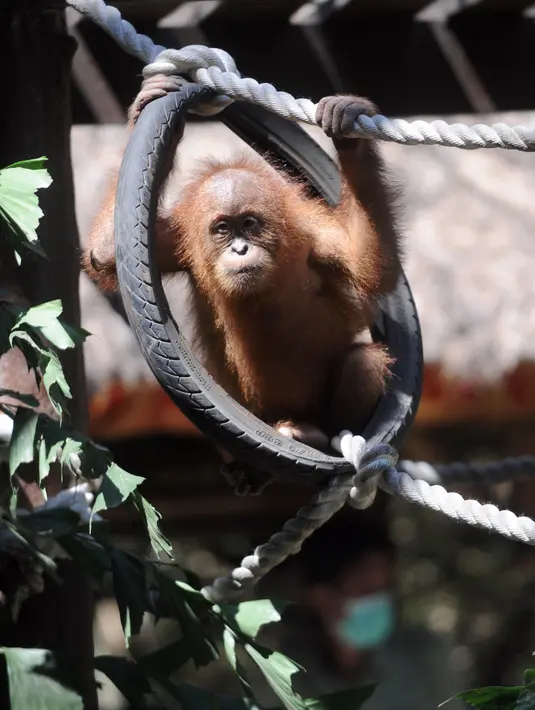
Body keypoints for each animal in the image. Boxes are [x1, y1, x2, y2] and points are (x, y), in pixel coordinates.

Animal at [83, 75, 402, 464]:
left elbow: (368, 265)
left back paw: (314, 435)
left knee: (364, 364)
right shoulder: (175, 240)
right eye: (223, 228)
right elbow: (104, 253)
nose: (240, 248)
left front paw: (348, 128)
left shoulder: (312, 230)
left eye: (249, 224)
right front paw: (153, 104)